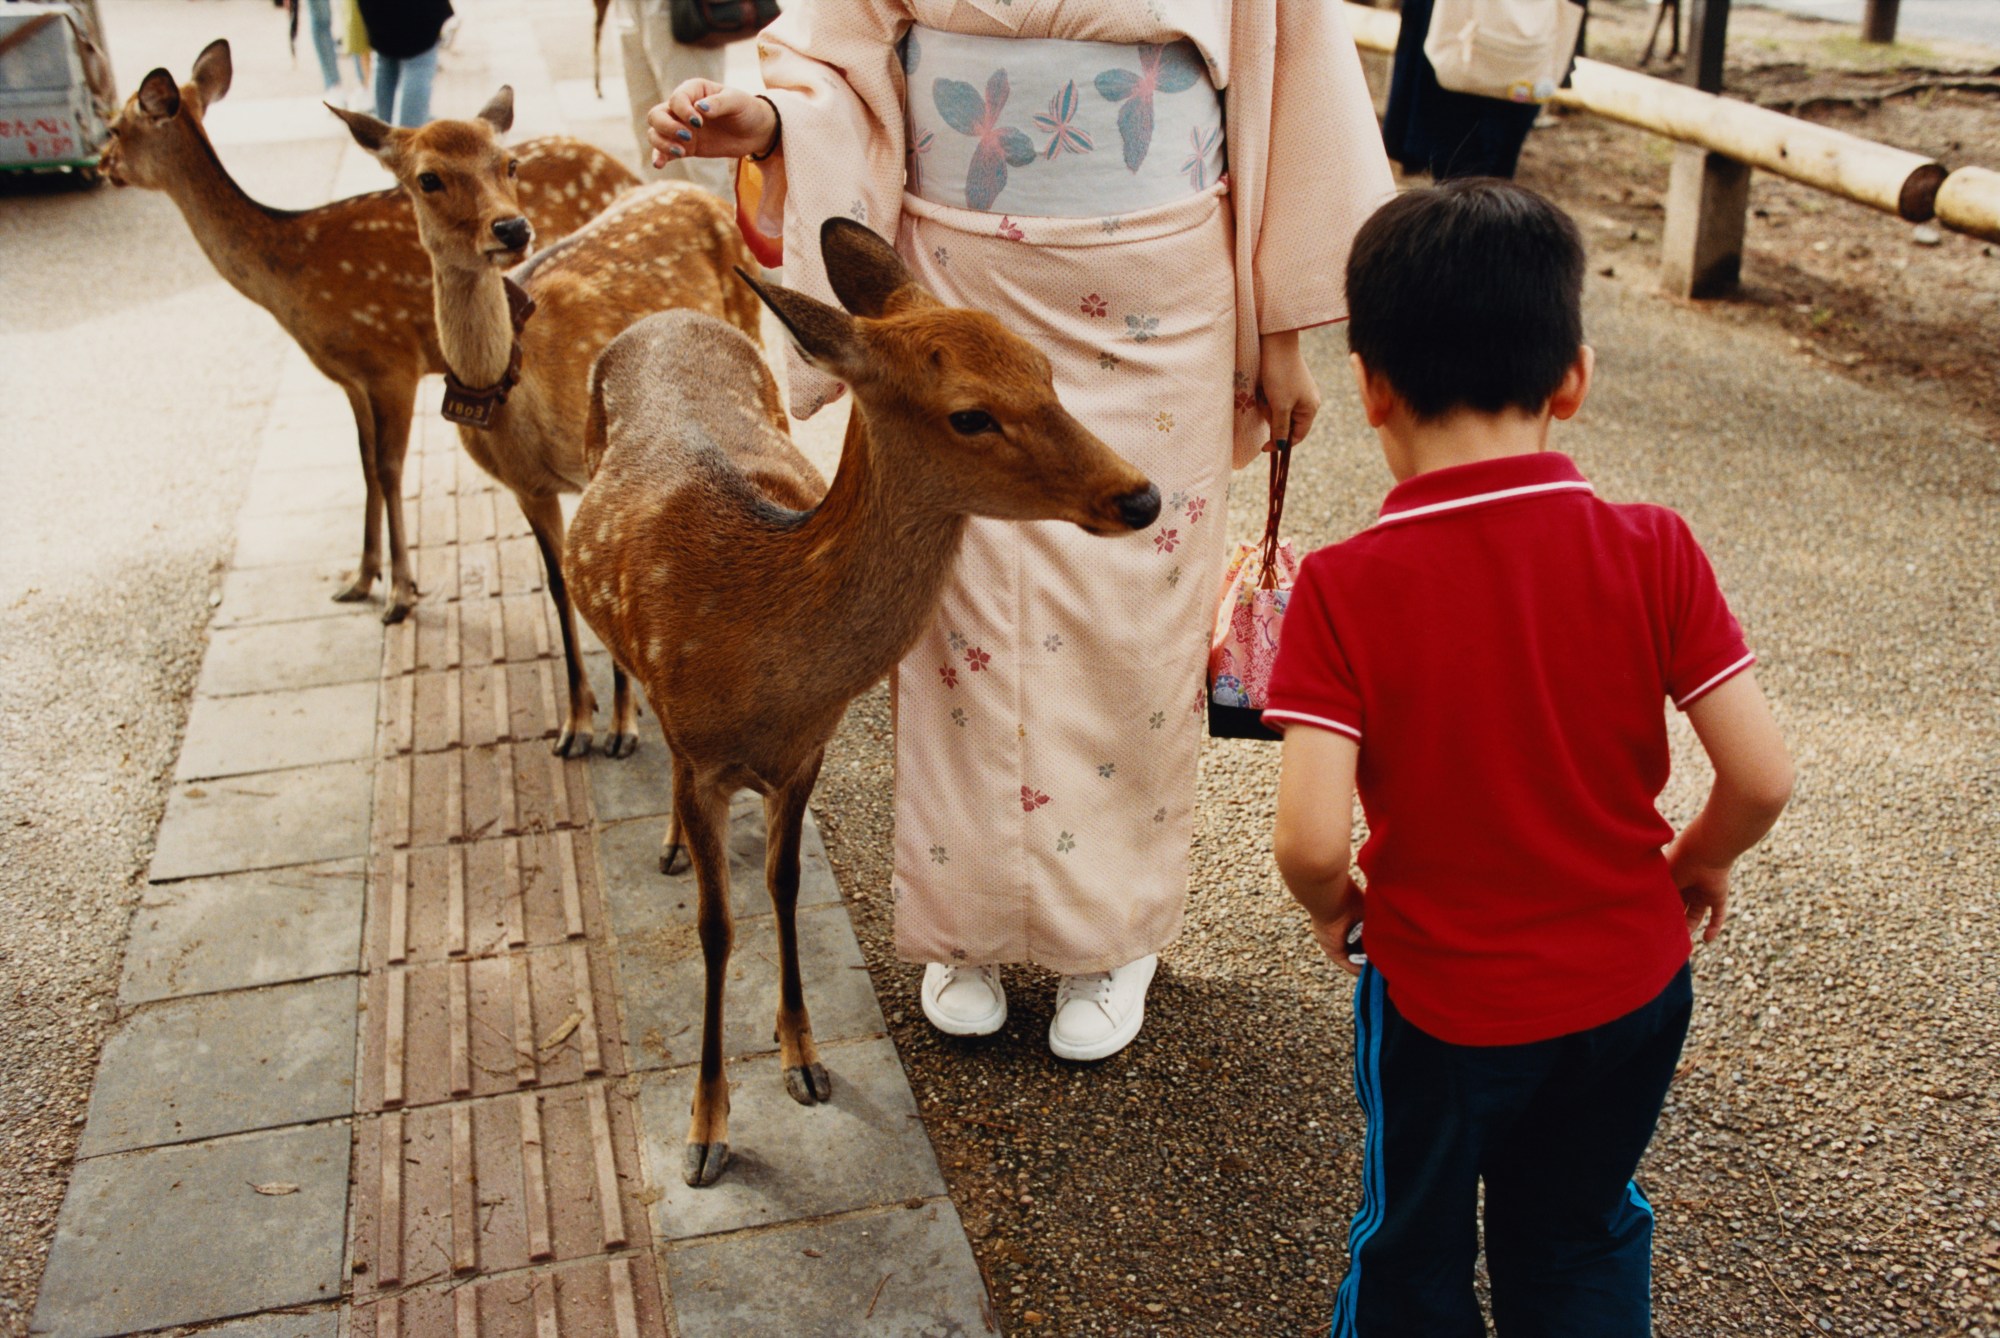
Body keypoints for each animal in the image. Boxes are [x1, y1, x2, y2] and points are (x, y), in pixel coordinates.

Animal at [99, 40, 632, 620]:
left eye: (114, 126)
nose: (102, 165)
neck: (289, 276)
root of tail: (623, 168)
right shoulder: (350, 377)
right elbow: (364, 465)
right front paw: (359, 578)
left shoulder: (390, 360)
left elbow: (389, 467)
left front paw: (399, 591)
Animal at [332, 90, 760, 756]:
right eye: (428, 178)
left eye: (509, 163)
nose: (512, 228)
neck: (518, 388)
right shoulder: (526, 488)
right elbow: (561, 586)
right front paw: (576, 723)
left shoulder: (593, 468)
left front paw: (621, 727)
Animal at [564, 222, 1168, 1192]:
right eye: (970, 414)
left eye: (1045, 368)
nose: (1140, 495)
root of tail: (662, 314)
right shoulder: (701, 757)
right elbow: (714, 927)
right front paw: (704, 1130)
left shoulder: (807, 753)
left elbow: (783, 885)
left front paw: (803, 1057)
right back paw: (661, 832)